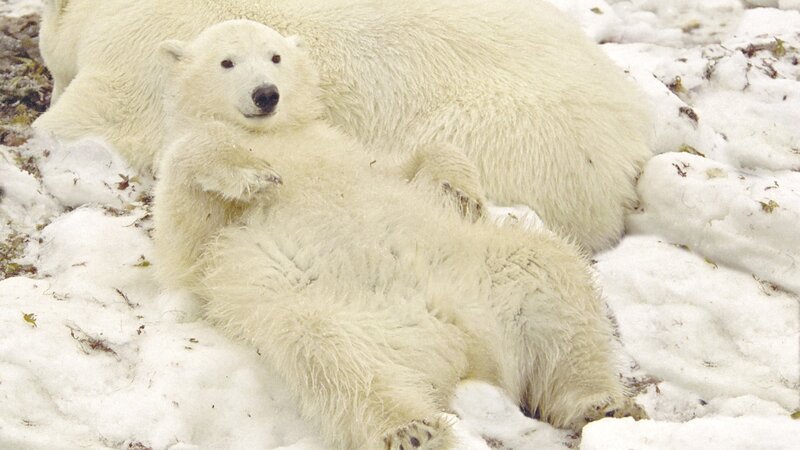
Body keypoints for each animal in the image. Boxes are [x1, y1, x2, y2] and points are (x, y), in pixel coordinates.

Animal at [153, 19, 646, 450]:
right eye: (226, 62)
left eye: (275, 56)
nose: (266, 94)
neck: (276, 134)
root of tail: (465, 344)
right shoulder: (213, 232)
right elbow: (185, 223)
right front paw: (252, 174)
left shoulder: (347, 150)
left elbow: (410, 159)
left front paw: (459, 191)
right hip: (333, 313)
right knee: (336, 358)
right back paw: (413, 429)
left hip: (486, 269)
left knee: (550, 275)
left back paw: (600, 401)